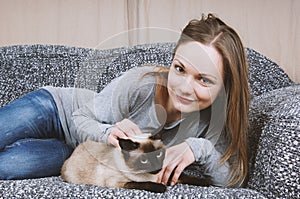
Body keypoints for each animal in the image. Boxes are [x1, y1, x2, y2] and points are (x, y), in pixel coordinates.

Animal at [60, 134, 211, 193]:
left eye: (158, 154)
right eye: (144, 160)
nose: (156, 166)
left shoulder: (165, 174)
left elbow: (186, 177)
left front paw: (207, 182)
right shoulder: (117, 183)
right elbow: (143, 184)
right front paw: (161, 188)